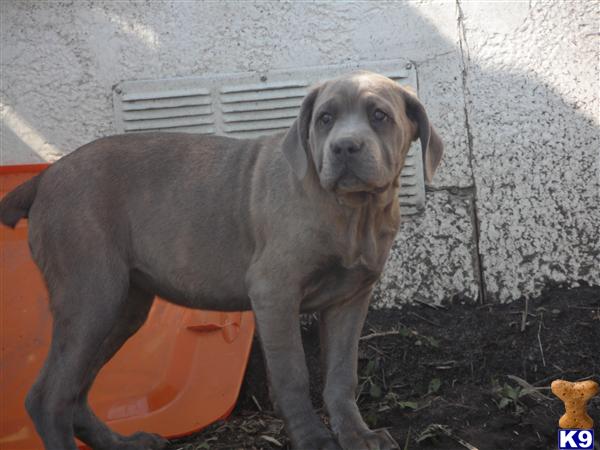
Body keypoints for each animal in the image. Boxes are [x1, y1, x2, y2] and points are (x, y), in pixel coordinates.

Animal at [0, 72, 440, 448]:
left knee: (75, 393)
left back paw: (125, 443)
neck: (352, 212)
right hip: (91, 293)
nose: (344, 147)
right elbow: (293, 375)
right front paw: (313, 439)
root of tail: (46, 176)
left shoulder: (350, 299)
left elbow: (341, 376)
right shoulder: (274, 291)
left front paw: (357, 436)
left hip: (123, 307)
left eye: (380, 116)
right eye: (325, 119)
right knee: (48, 397)